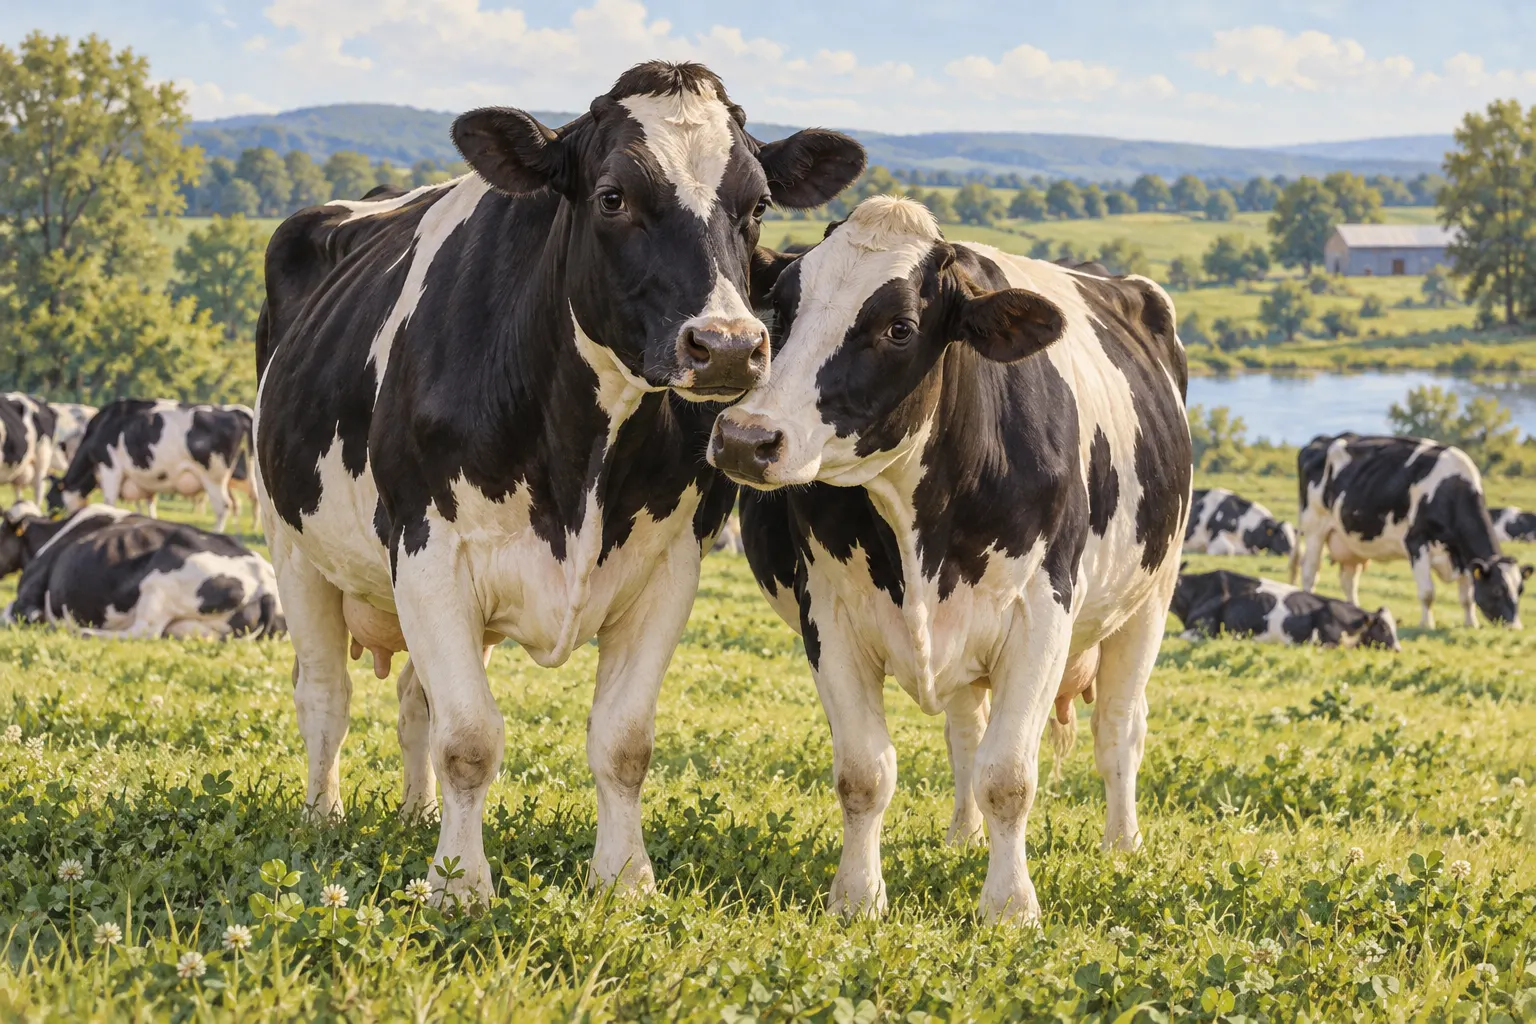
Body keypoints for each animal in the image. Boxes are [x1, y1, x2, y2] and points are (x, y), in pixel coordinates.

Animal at [1, 501, 284, 638]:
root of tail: (266, 583)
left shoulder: (28, 598)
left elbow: (9, 613)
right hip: (192, 627)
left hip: (160, 583)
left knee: (144, 631)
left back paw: (82, 631)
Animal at [48, 399, 252, 532]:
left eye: (50, 499)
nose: (50, 519)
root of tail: (233, 411)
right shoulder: (147, 483)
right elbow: (150, 506)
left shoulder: (111, 468)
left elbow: (109, 502)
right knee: (233, 505)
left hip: (213, 477)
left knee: (223, 507)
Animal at [252, 61, 864, 904]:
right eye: (612, 196)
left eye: (759, 205)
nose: (730, 347)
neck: (582, 456)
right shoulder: (429, 551)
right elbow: (471, 738)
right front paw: (460, 887)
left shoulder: (670, 567)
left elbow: (623, 743)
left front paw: (625, 879)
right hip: (294, 546)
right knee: (324, 696)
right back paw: (323, 815)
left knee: (415, 702)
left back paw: (416, 815)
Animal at [713, 196, 1192, 922]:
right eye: (782, 308)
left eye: (901, 328)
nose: (745, 438)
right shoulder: (830, 616)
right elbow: (865, 772)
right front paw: (858, 897)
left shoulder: (1041, 617)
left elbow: (1010, 776)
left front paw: (1011, 906)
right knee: (967, 730)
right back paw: (963, 836)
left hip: (1150, 598)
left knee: (1119, 728)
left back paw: (1122, 844)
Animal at [1295, 433, 1531, 628]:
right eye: (1498, 590)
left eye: (1520, 590)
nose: (1516, 627)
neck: (1450, 489)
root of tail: (1322, 440)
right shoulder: (1416, 542)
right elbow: (1427, 592)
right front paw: (1427, 625)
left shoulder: (1463, 555)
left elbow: (1467, 596)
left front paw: (1470, 623)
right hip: (1314, 526)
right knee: (1310, 572)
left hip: (1350, 541)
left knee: (1348, 580)